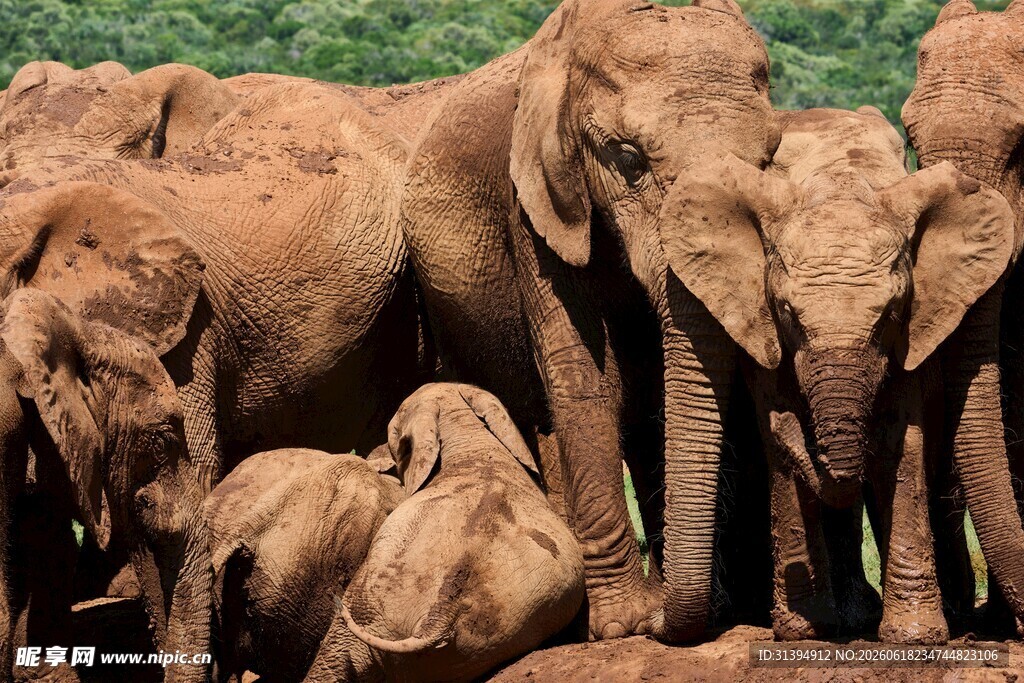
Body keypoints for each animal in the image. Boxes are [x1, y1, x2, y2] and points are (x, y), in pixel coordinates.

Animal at [399, 0, 782, 641]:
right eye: (628, 160)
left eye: (768, 161)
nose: (665, 621)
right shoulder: (534, 201)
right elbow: (582, 375)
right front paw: (625, 625)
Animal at [697, 107, 1018, 642]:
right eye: (788, 314)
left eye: (889, 314)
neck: (839, 181)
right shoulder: (757, 321)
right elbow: (777, 441)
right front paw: (802, 632)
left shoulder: (915, 326)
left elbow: (899, 442)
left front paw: (914, 639)